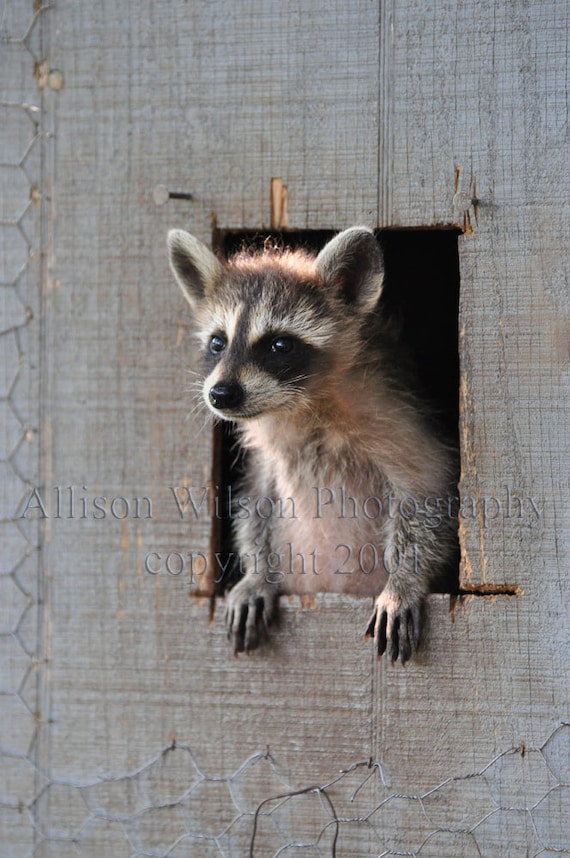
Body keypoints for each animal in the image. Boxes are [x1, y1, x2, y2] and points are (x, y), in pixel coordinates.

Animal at [168, 227, 457, 663]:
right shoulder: (265, 448)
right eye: (218, 343)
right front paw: (257, 574)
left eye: (279, 345)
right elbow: (256, 499)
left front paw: (405, 579)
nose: (220, 394)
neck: (300, 405)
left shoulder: (396, 416)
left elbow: (426, 490)